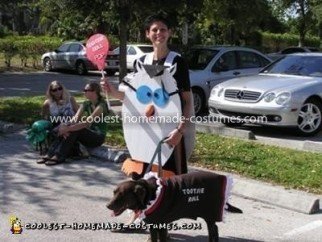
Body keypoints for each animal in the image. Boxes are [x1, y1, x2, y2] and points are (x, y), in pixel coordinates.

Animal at [107, 171, 243, 241]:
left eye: (122, 195)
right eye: (114, 192)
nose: (107, 206)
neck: (151, 193)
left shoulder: (161, 225)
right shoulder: (154, 224)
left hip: (209, 214)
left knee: (214, 230)